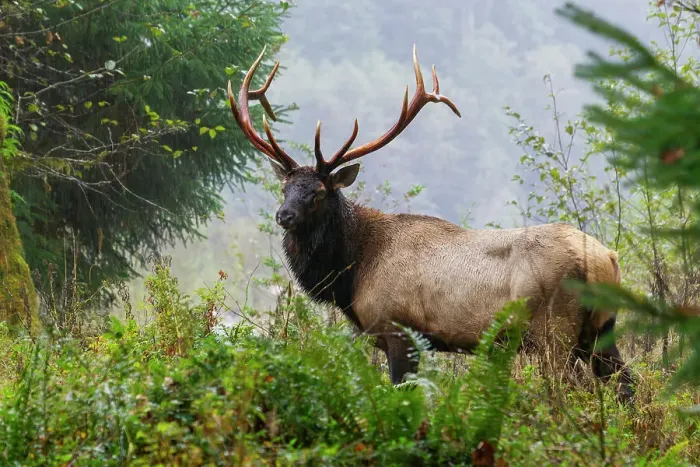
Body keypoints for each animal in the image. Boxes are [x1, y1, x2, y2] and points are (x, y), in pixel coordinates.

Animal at [226, 45, 635, 403]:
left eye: (318, 192)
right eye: (285, 188)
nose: (284, 216)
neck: (353, 272)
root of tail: (608, 259)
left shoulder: (399, 330)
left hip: (556, 330)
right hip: (601, 329)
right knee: (628, 384)